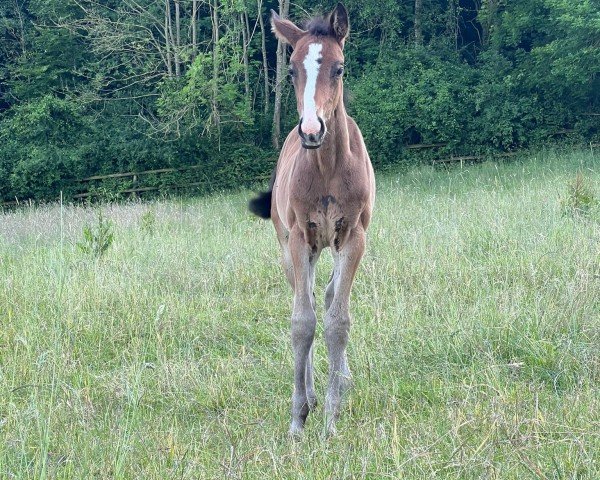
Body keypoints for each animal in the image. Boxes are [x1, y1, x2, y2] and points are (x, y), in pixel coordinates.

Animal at [248, 2, 376, 436]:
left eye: (339, 68)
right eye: (291, 70)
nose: (311, 130)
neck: (328, 169)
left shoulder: (353, 237)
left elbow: (338, 320)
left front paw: (332, 419)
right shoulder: (300, 239)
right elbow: (302, 323)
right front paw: (299, 416)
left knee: (330, 296)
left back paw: (341, 381)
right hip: (292, 247)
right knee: (303, 299)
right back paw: (311, 392)